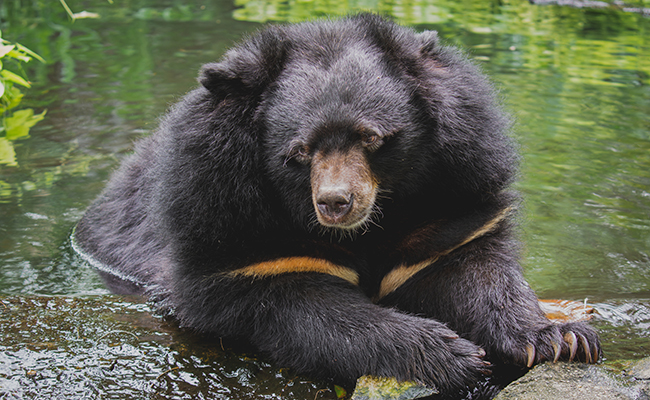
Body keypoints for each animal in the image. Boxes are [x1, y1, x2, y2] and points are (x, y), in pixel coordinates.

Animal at [73, 14, 600, 396]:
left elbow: (473, 269)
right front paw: (448, 355)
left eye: (372, 138)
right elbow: (308, 310)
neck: (369, 227)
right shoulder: (229, 224)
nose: (336, 203)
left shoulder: (452, 199)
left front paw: (561, 339)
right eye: (299, 151)